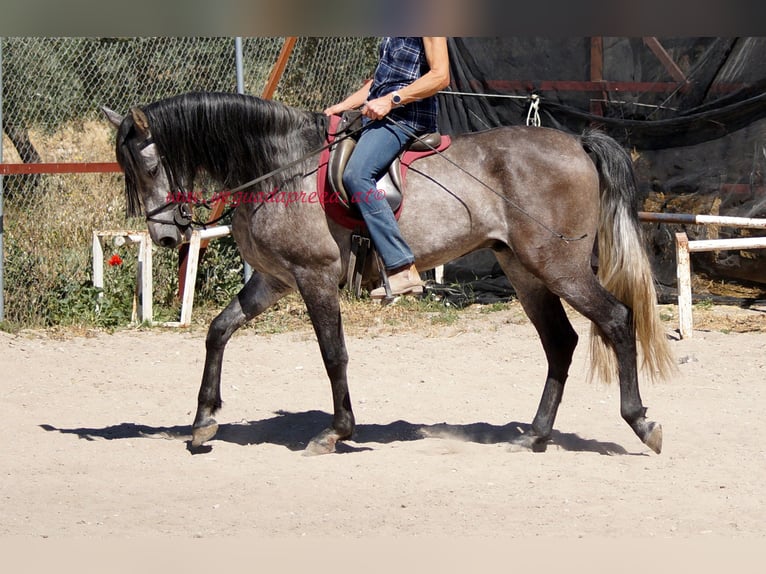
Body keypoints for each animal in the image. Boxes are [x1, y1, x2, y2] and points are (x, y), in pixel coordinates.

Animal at [103, 92, 680, 456]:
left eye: (150, 167)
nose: (165, 237)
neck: (280, 166)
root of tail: (577, 142)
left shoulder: (313, 277)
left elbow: (332, 354)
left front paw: (336, 432)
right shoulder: (274, 280)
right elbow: (218, 330)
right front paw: (203, 422)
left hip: (557, 266)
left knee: (616, 320)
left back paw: (642, 423)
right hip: (523, 270)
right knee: (560, 342)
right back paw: (534, 435)